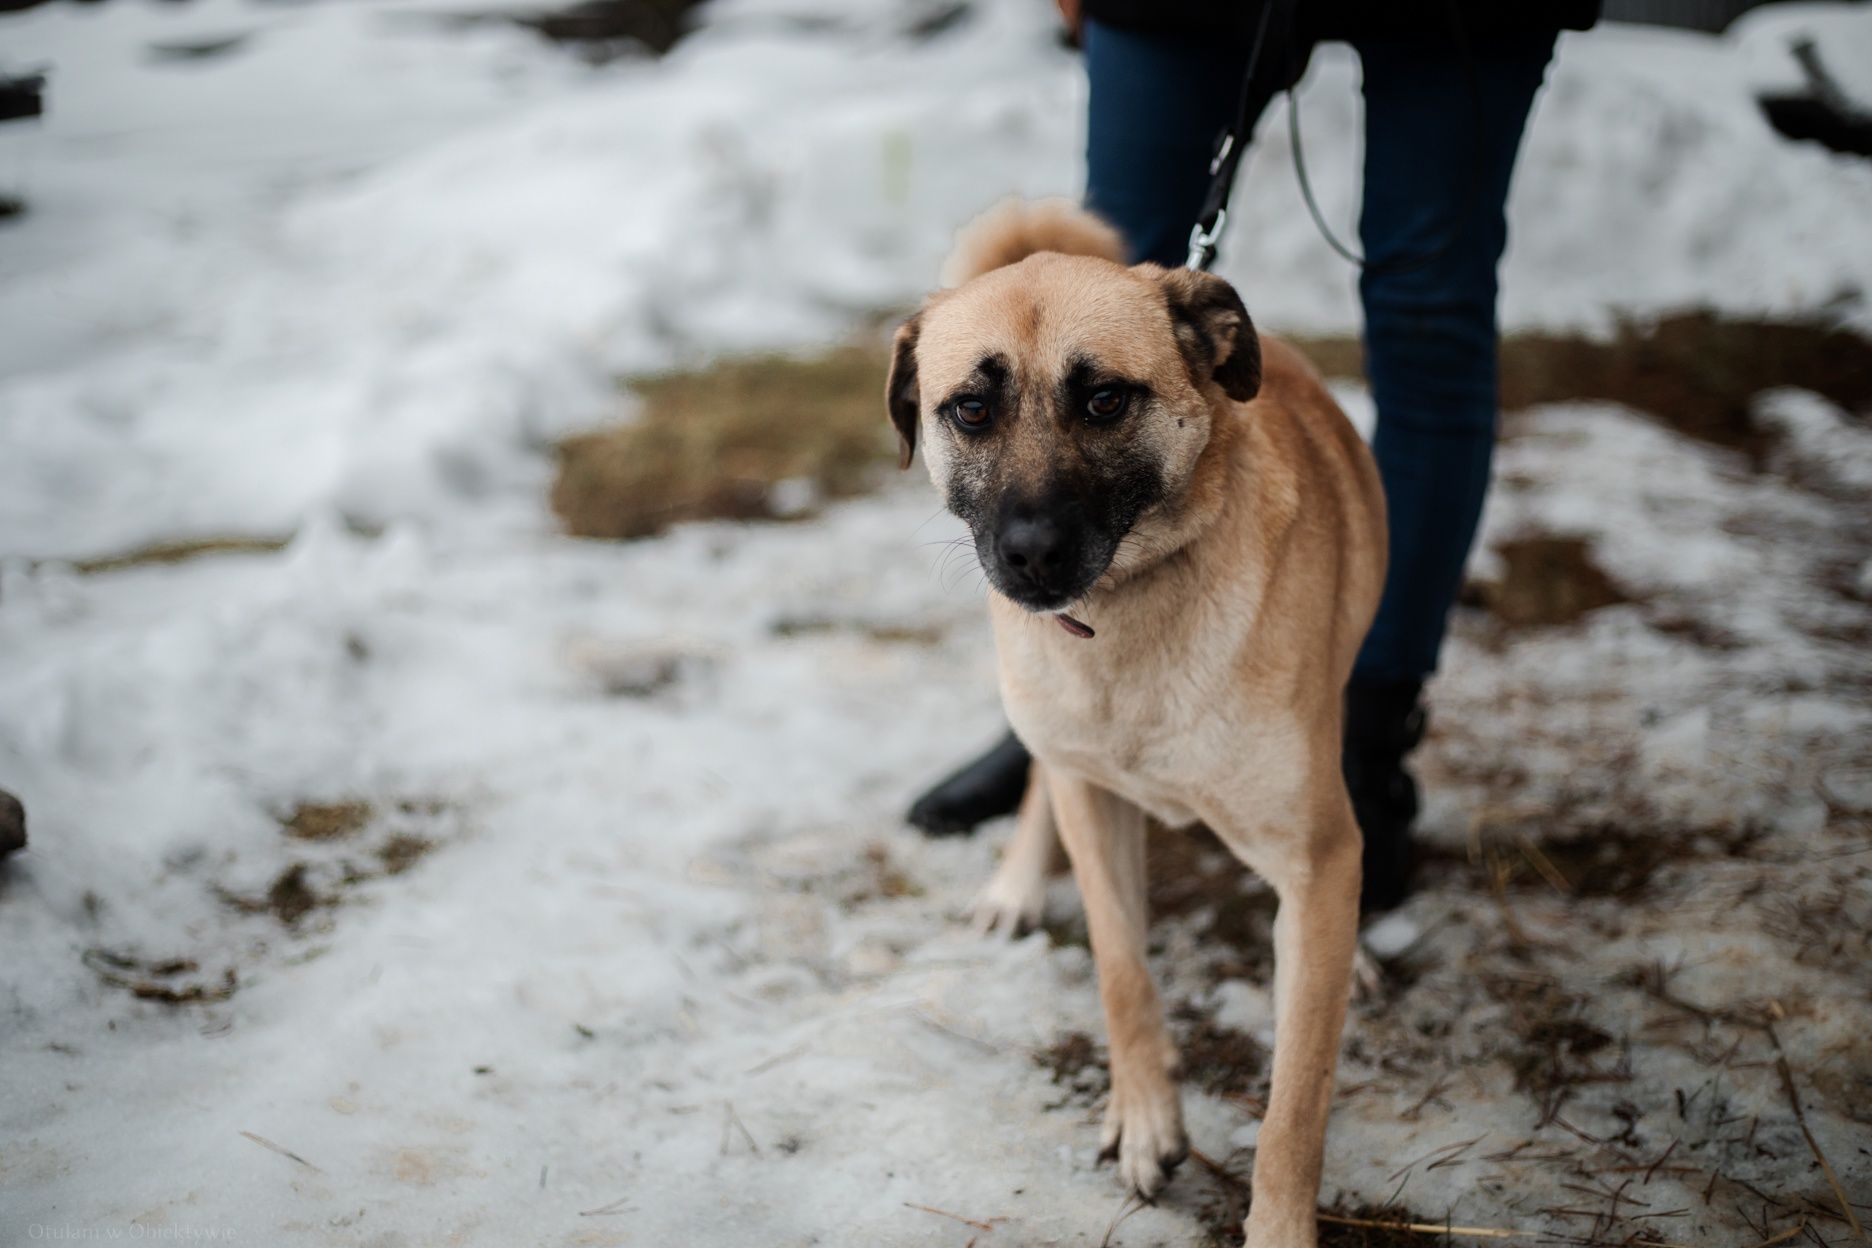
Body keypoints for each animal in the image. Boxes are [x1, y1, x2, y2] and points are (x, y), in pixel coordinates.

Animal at [883, 200, 1385, 1242]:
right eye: (971, 408)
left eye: (1105, 399)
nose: (1031, 554)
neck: (1127, 622)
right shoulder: (1094, 796)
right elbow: (1121, 969)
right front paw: (1147, 1119)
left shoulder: (1316, 856)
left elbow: (1297, 1099)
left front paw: (1279, 1226)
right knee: (1042, 776)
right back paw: (1014, 884)